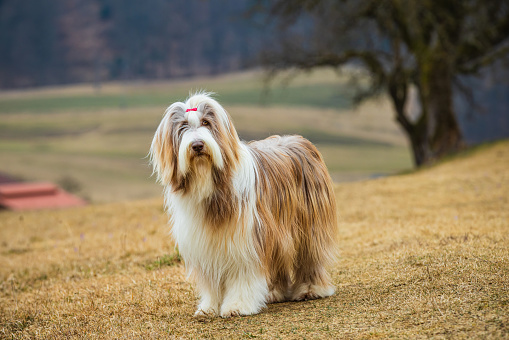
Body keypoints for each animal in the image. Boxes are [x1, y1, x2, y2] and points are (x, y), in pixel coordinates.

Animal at [148, 91, 338, 318]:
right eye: (183, 126)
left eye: (206, 123)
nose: (197, 145)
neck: (211, 186)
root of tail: (298, 139)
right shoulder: (205, 241)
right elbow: (212, 280)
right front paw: (209, 307)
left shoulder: (246, 239)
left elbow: (243, 274)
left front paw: (237, 306)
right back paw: (273, 292)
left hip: (309, 224)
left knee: (310, 256)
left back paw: (311, 289)